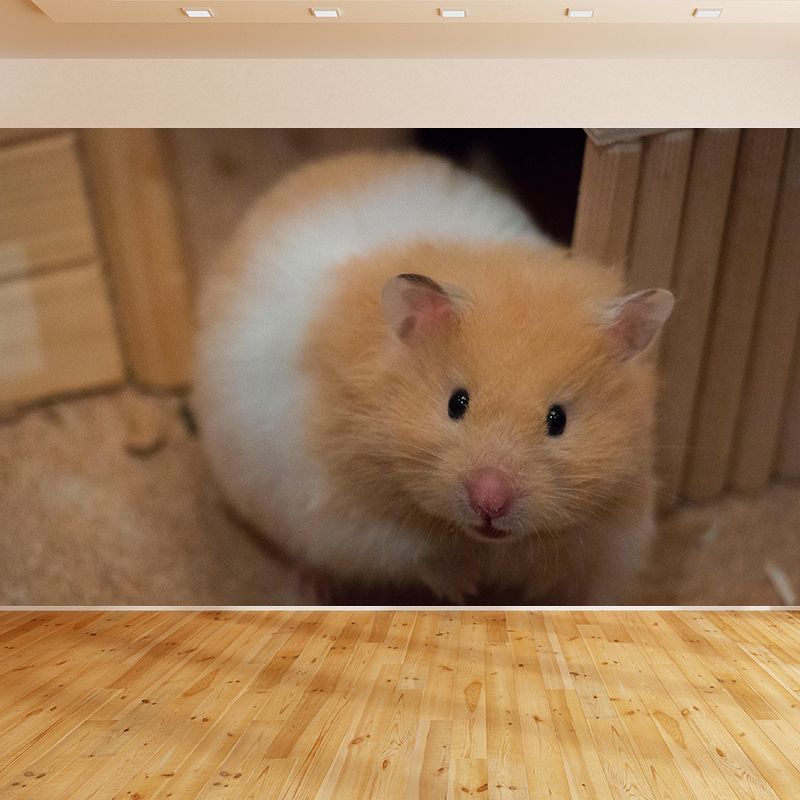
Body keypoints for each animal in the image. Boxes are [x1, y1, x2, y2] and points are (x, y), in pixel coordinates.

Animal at [193, 151, 674, 604]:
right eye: (456, 403)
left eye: (558, 420)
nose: (489, 500)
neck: (486, 542)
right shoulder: (350, 520)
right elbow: (415, 554)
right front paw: (466, 588)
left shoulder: (610, 540)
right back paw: (310, 589)